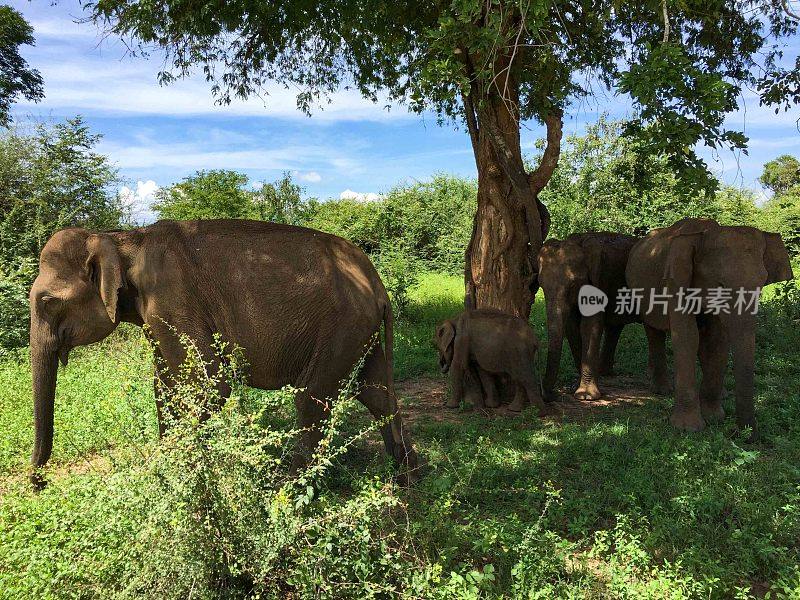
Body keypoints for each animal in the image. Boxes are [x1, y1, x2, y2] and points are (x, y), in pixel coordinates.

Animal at [29, 219, 418, 488]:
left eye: (48, 302)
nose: (38, 483)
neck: (122, 238)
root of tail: (378, 283)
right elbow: (165, 388)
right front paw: (168, 472)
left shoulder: (171, 301)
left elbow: (210, 386)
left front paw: (184, 482)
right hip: (360, 331)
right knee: (377, 394)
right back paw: (406, 477)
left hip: (343, 326)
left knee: (312, 398)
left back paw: (286, 492)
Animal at [536, 232, 640, 400]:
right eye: (541, 285)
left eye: (572, 285)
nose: (550, 394)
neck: (581, 241)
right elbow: (572, 327)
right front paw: (576, 389)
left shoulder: (600, 280)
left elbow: (589, 326)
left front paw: (586, 396)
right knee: (615, 327)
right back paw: (605, 373)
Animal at [628, 218, 796, 438]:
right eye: (720, 284)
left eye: (762, 284)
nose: (740, 434)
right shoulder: (675, 282)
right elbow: (687, 336)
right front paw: (688, 428)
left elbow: (717, 340)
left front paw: (715, 418)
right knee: (653, 331)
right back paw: (662, 390)